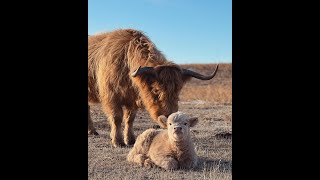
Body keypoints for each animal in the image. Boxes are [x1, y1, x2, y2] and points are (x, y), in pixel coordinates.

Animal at [87, 29, 219, 148]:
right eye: (156, 90)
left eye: (178, 90)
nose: (169, 118)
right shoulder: (111, 97)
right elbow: (117, 118)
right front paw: (117, 141)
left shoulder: (132, 100)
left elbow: (130, 119)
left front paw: (130, 139)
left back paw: (92, 131)